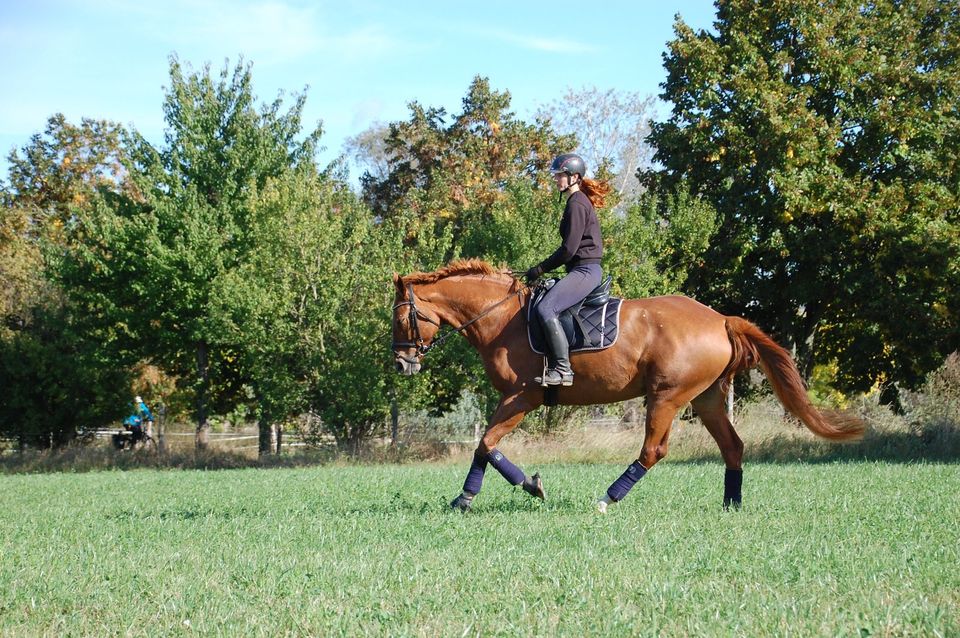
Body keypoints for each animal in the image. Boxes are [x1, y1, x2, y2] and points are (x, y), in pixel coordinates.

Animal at [390, 258, 864, 512]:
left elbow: (486, 444)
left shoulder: (521, 396)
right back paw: (732, 504)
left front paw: (490, 494)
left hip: (667, 397)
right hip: (707, 398)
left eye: (401, 318)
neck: (499, 317)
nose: (401, 364)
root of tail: (720, 319)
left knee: (653, 450)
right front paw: (487, 494)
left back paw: (609, 498)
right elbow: (484, 446)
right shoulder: (515, 400)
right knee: (732, 446)